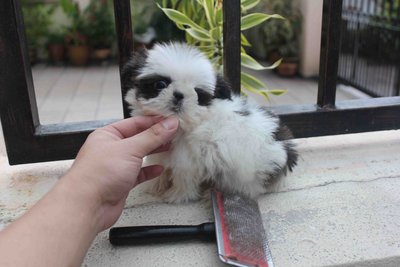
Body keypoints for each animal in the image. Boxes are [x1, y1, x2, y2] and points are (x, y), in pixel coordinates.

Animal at [123, 43, 298, 204]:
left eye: (198, 94)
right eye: (160, 84)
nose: (179, 95)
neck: (184, 126)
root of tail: (285, 148)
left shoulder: (187, 161)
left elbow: (183, 178)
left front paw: (177, 195)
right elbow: (160, 168)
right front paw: (155, 185)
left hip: (245, 173)